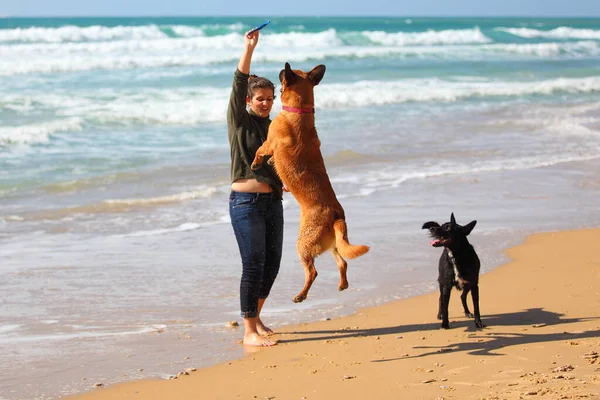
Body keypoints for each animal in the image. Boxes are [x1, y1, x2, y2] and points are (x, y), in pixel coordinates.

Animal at [251, 61, 368, 304]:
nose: (279, 69)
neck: (300, 111)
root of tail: (336, 216)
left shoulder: (269, 143)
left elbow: (260, 150)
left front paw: (256, 163)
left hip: (303, 245)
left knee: (313, 271)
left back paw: (301, 295)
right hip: (332, 243)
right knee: (342, 261)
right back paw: (342, 284)